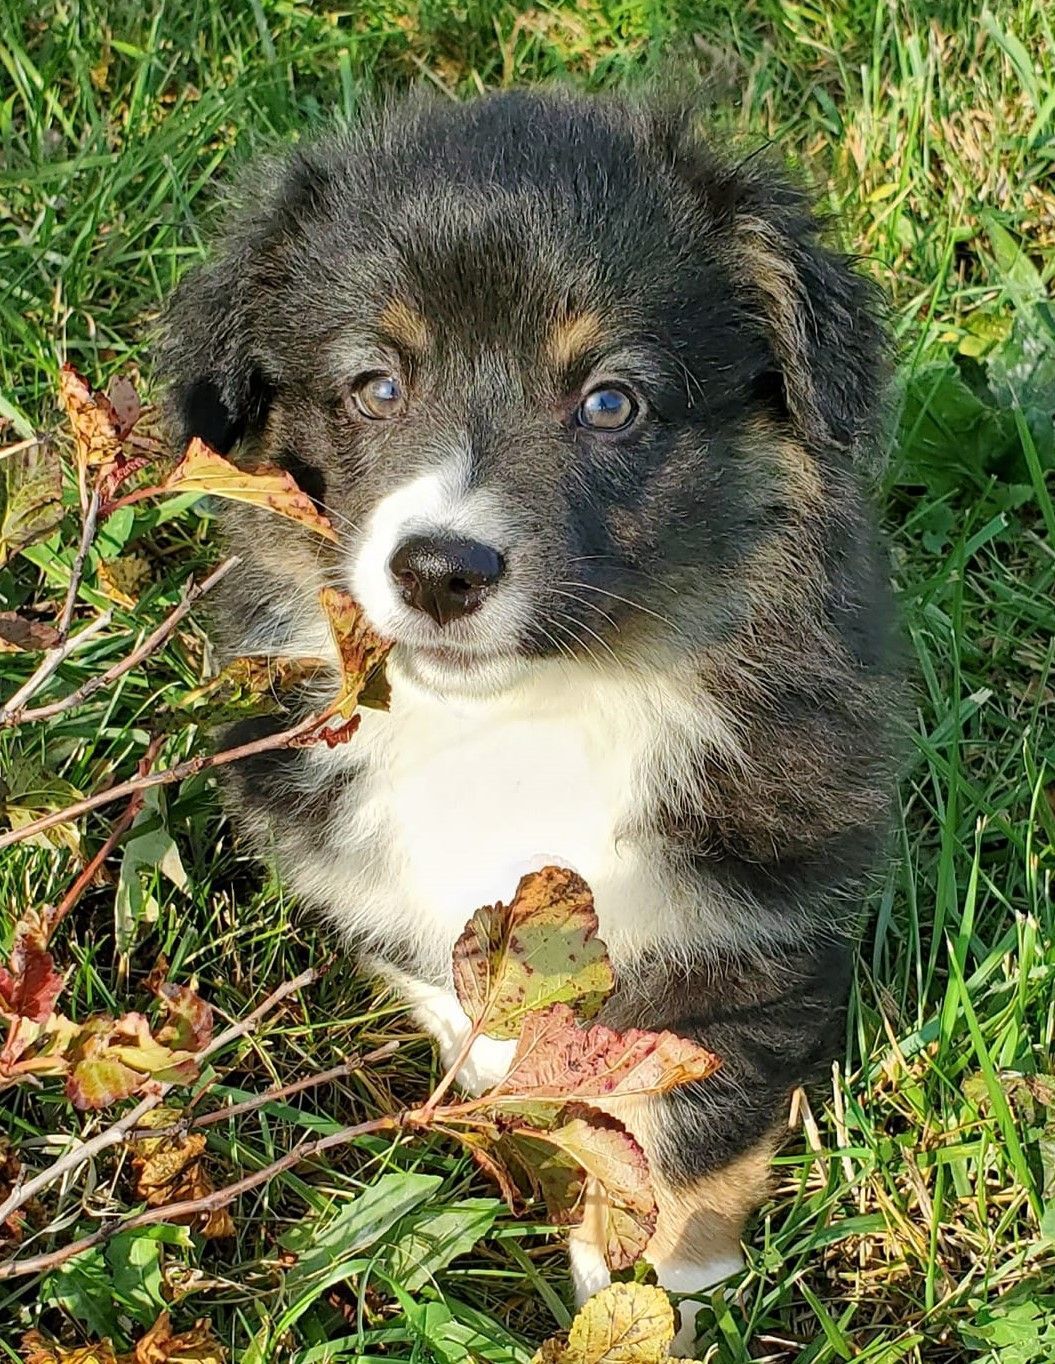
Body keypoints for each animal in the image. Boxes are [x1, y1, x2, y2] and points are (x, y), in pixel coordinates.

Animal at [160, 90, 900, 1347]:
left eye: (609, 402)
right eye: (374, 386)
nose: (439, 570)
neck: (524, 715)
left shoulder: (745, 916)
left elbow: (677, 1132)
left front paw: (651, 1297)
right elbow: (472, 1008)